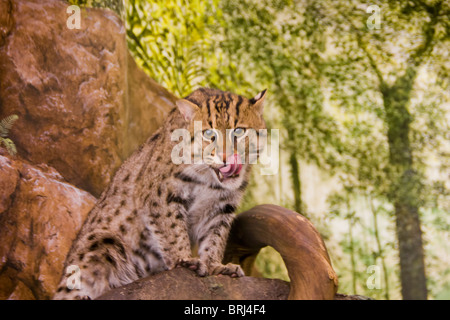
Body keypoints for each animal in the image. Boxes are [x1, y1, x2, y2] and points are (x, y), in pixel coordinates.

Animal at [52, 86, 268, 298]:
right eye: (208, 134)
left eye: (239, 131)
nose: (226, 158)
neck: (209, 182)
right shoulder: (160, 194)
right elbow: (172, 229)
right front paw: (185, 260)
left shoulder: (222, 207)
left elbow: (216, 237)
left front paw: (215, 266)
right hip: (101, 243)